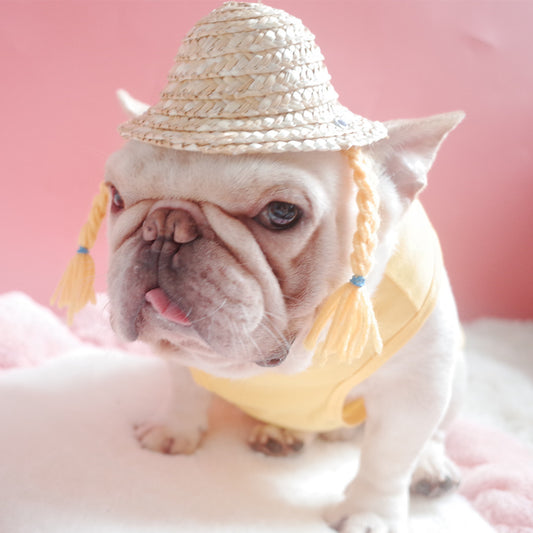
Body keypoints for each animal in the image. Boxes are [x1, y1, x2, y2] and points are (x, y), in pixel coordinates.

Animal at [105, 89, 466, 528]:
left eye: (281, 213)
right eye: (116, 197)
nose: (165, 226)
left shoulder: (416, 385)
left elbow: (389, 458)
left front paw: (368, 514)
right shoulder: (183, 358)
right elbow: (185, 389)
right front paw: (175, 429)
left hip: (455, 380)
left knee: (437, 433)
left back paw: (431, 467)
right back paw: (281, 434)